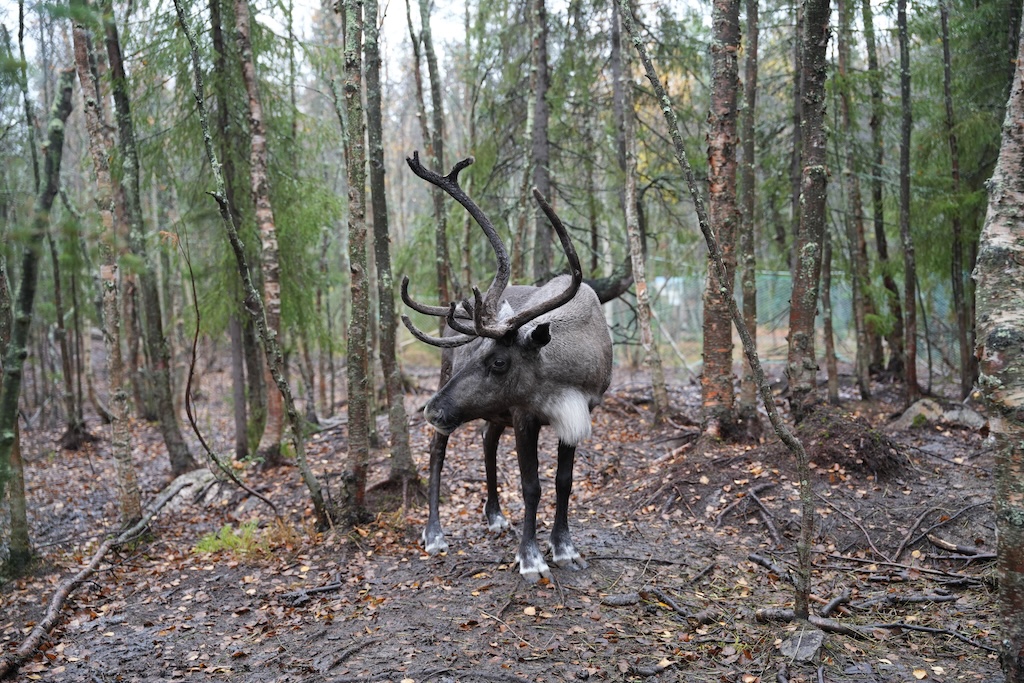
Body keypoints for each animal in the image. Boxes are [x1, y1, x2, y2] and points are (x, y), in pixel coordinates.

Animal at [401, 152, 613, 583]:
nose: (432, 409)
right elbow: (531, 485)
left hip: (493, 410)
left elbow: (564, 481)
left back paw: (495, 515)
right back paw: (434, 534)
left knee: (486, 439)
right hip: (452, 386)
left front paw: (564, 547)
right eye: (474, 352)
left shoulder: (578, 411)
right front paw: (531, 558)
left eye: (499, 361)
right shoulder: (524, 414)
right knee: (436, 450)